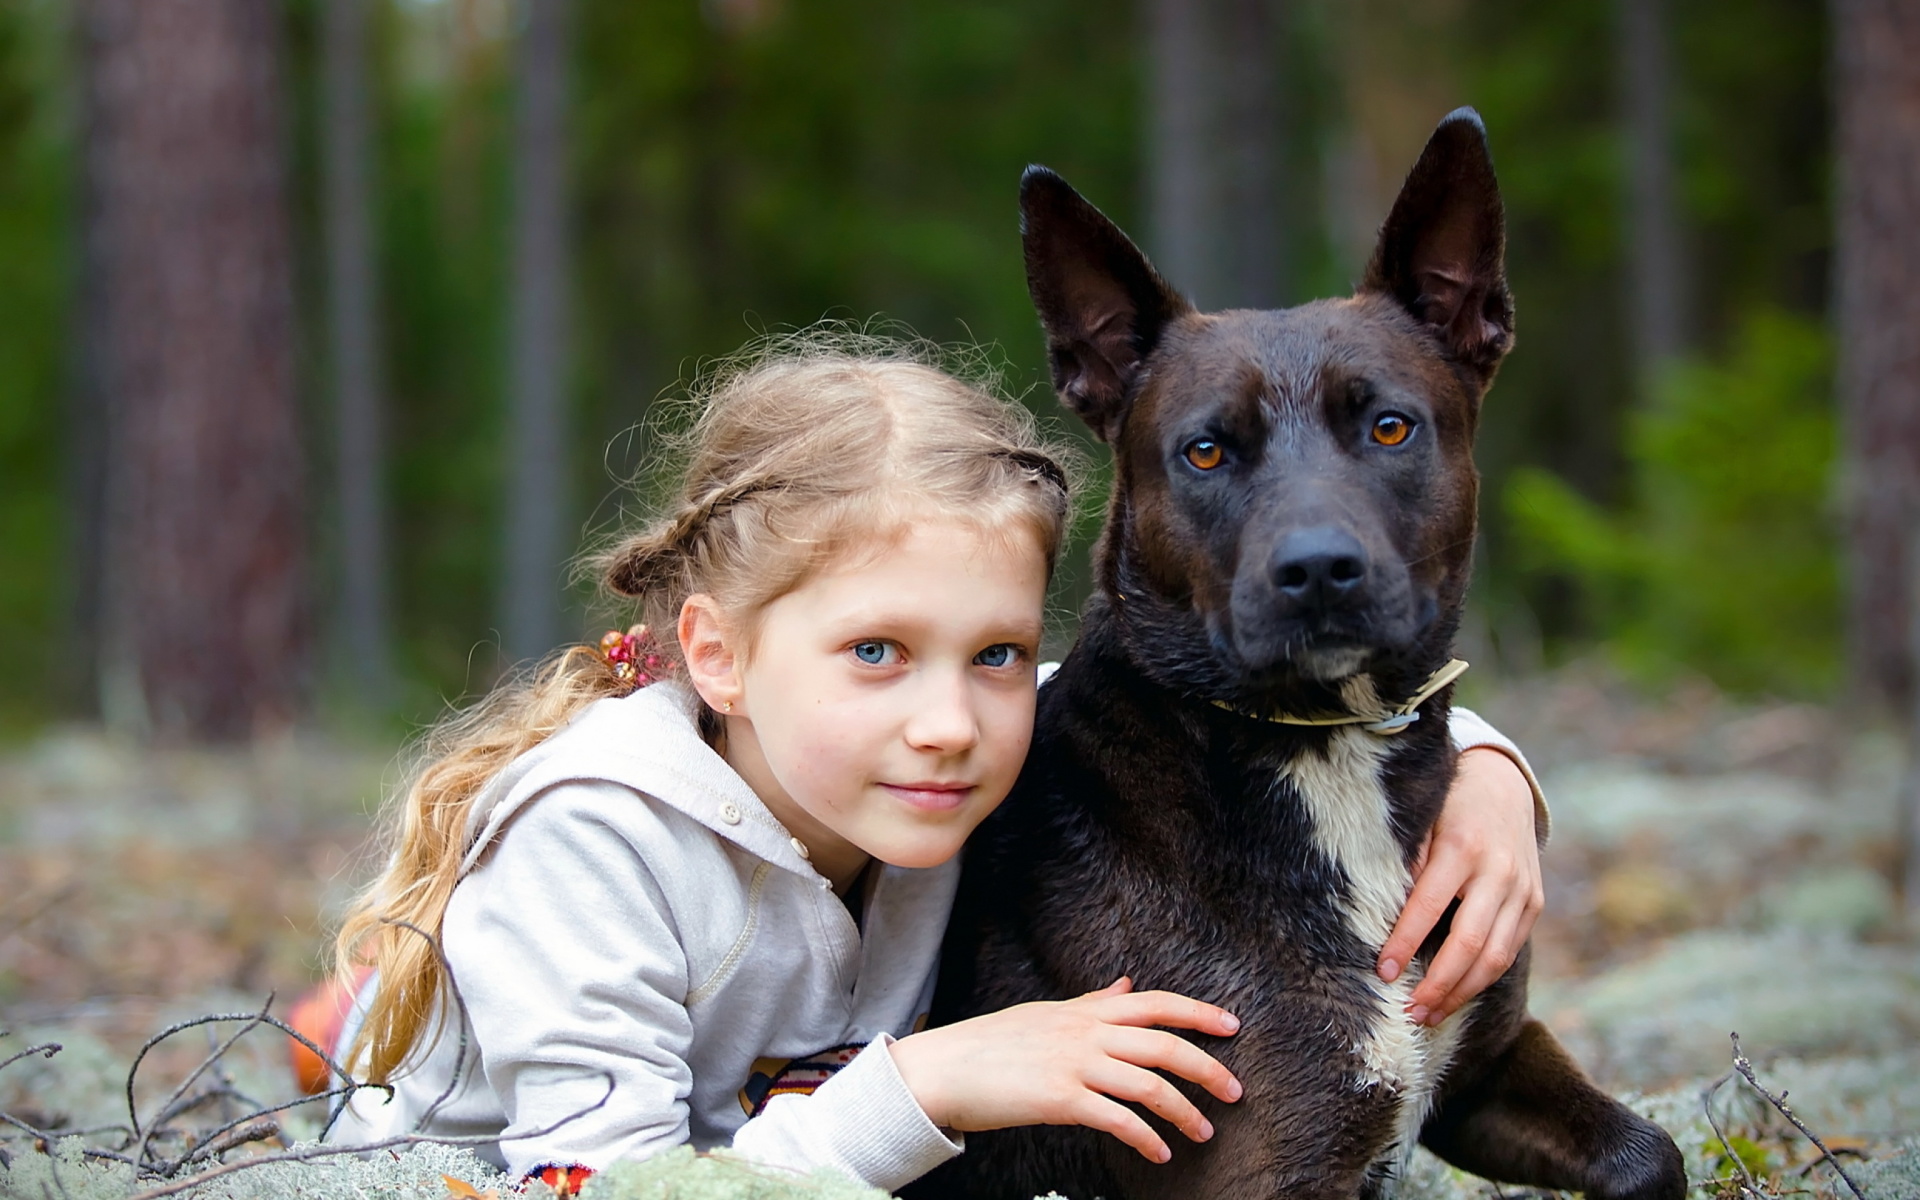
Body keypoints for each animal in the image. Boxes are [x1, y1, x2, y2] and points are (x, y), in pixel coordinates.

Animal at [913, 109, 1681, 1198]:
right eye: (1204, 451)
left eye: (1391, 426)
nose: (1318, 570)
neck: (1322, 747)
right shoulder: (1266, 1162)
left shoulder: (1484, 1067)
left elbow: (1654, 1154)